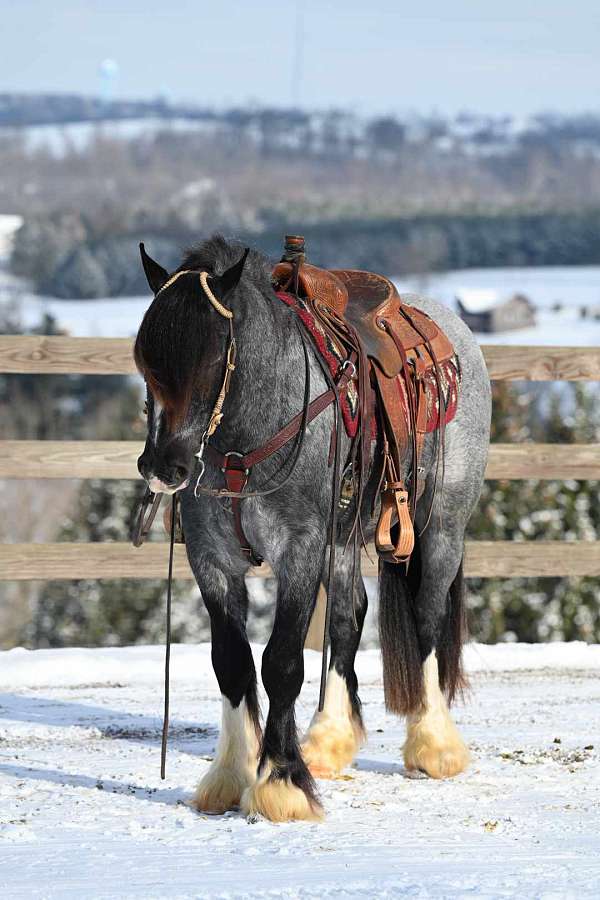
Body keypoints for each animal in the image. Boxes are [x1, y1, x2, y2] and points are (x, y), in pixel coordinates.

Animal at [134, 234, 490, 824]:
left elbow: (281, 663)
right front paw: (229, 777)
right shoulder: (211, 558)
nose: (163, 467)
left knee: (426, 620)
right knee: (349, 618)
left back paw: (434, 744)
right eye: (144, 361)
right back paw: (327, 741)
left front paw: (281, 784)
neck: (246, 437)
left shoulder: (298, 550)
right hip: (343, 540)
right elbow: (231, 662)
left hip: (441, 526)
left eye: (211, 358)